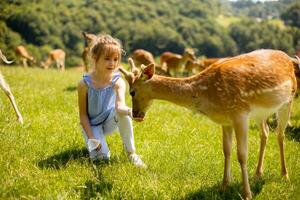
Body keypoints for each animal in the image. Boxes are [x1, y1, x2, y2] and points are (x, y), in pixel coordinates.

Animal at [119, 49, 298, 199]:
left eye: (132, 92)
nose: (136, 114)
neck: (208, 95)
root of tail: (289, 59)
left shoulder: (240, 114)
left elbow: (242, 155)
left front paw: (247, 194)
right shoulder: (225, 120)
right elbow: (226, 150)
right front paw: (224, 186)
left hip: (288, 101)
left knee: (280, 134)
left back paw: (285, 175)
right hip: (262, 113)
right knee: (265, 133)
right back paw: (258, 175)